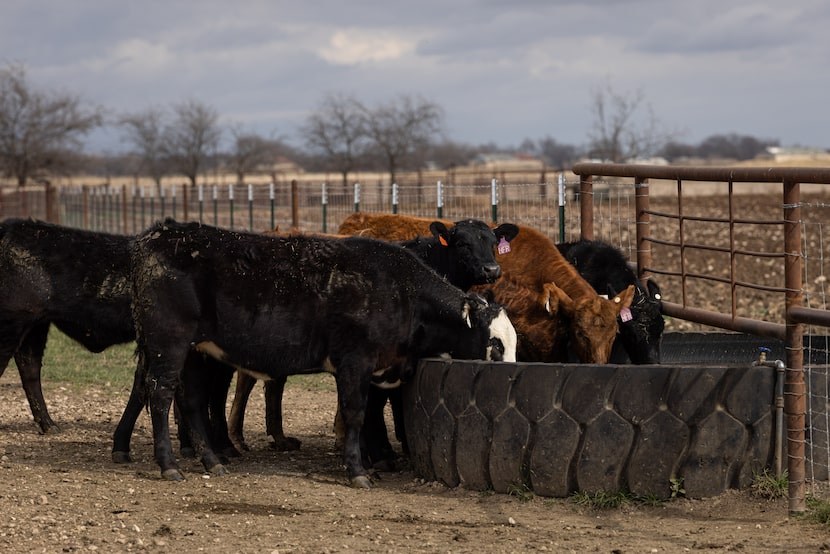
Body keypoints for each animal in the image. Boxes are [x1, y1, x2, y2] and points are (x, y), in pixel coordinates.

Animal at [124, 219, 517, 487]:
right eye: (495, 343)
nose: (512, 373)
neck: (401, 291)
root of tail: (158, 237)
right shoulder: (355, 363)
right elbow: (356, 414)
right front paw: (358, 470)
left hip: (196, 351)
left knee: (191, 402)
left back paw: (211, 460)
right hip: (169, 345)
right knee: (160, 396)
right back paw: (168, 464)